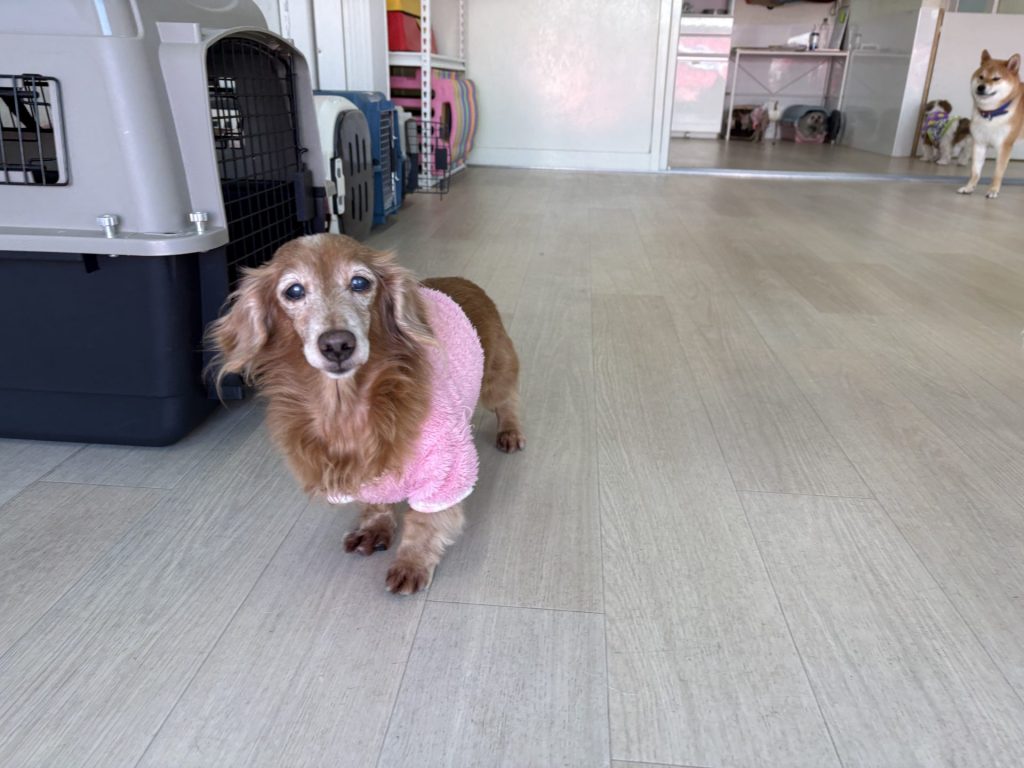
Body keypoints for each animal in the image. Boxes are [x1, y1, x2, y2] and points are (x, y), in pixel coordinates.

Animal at [209, 234, 525, 595]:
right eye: (294, 291)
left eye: (360, 282)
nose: (336, 344)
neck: (349, 404)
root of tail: (466, 281)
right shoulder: (360, 471)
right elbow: (376, 501)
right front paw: (374, 528)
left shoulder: (443, 466)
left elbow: (425, 522)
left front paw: (411, 563)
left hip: (494, 377)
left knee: (507, 400)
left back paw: (510, 432)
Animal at [958, 49, 1023, 199]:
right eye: (981, 77)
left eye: (996, 78)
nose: (981, 87)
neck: (992, 113)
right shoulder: (979, 143)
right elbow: (975, 171)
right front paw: (969, 187)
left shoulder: (1004, 146)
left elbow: (998, 172)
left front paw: (993, 190)